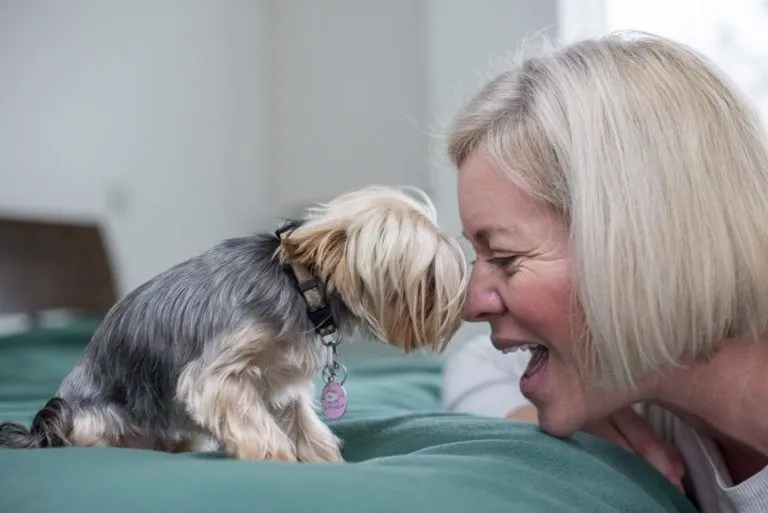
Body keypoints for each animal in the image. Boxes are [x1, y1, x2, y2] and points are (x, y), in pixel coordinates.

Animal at [0, 185, 468, 462]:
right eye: (430, 274)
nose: (463, 303)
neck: (302, 286)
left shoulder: (282, 385)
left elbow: (305, 427)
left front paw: (324, 461)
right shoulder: (218, 375)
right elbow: (251, 420)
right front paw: (276, 458)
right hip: (93, 419)